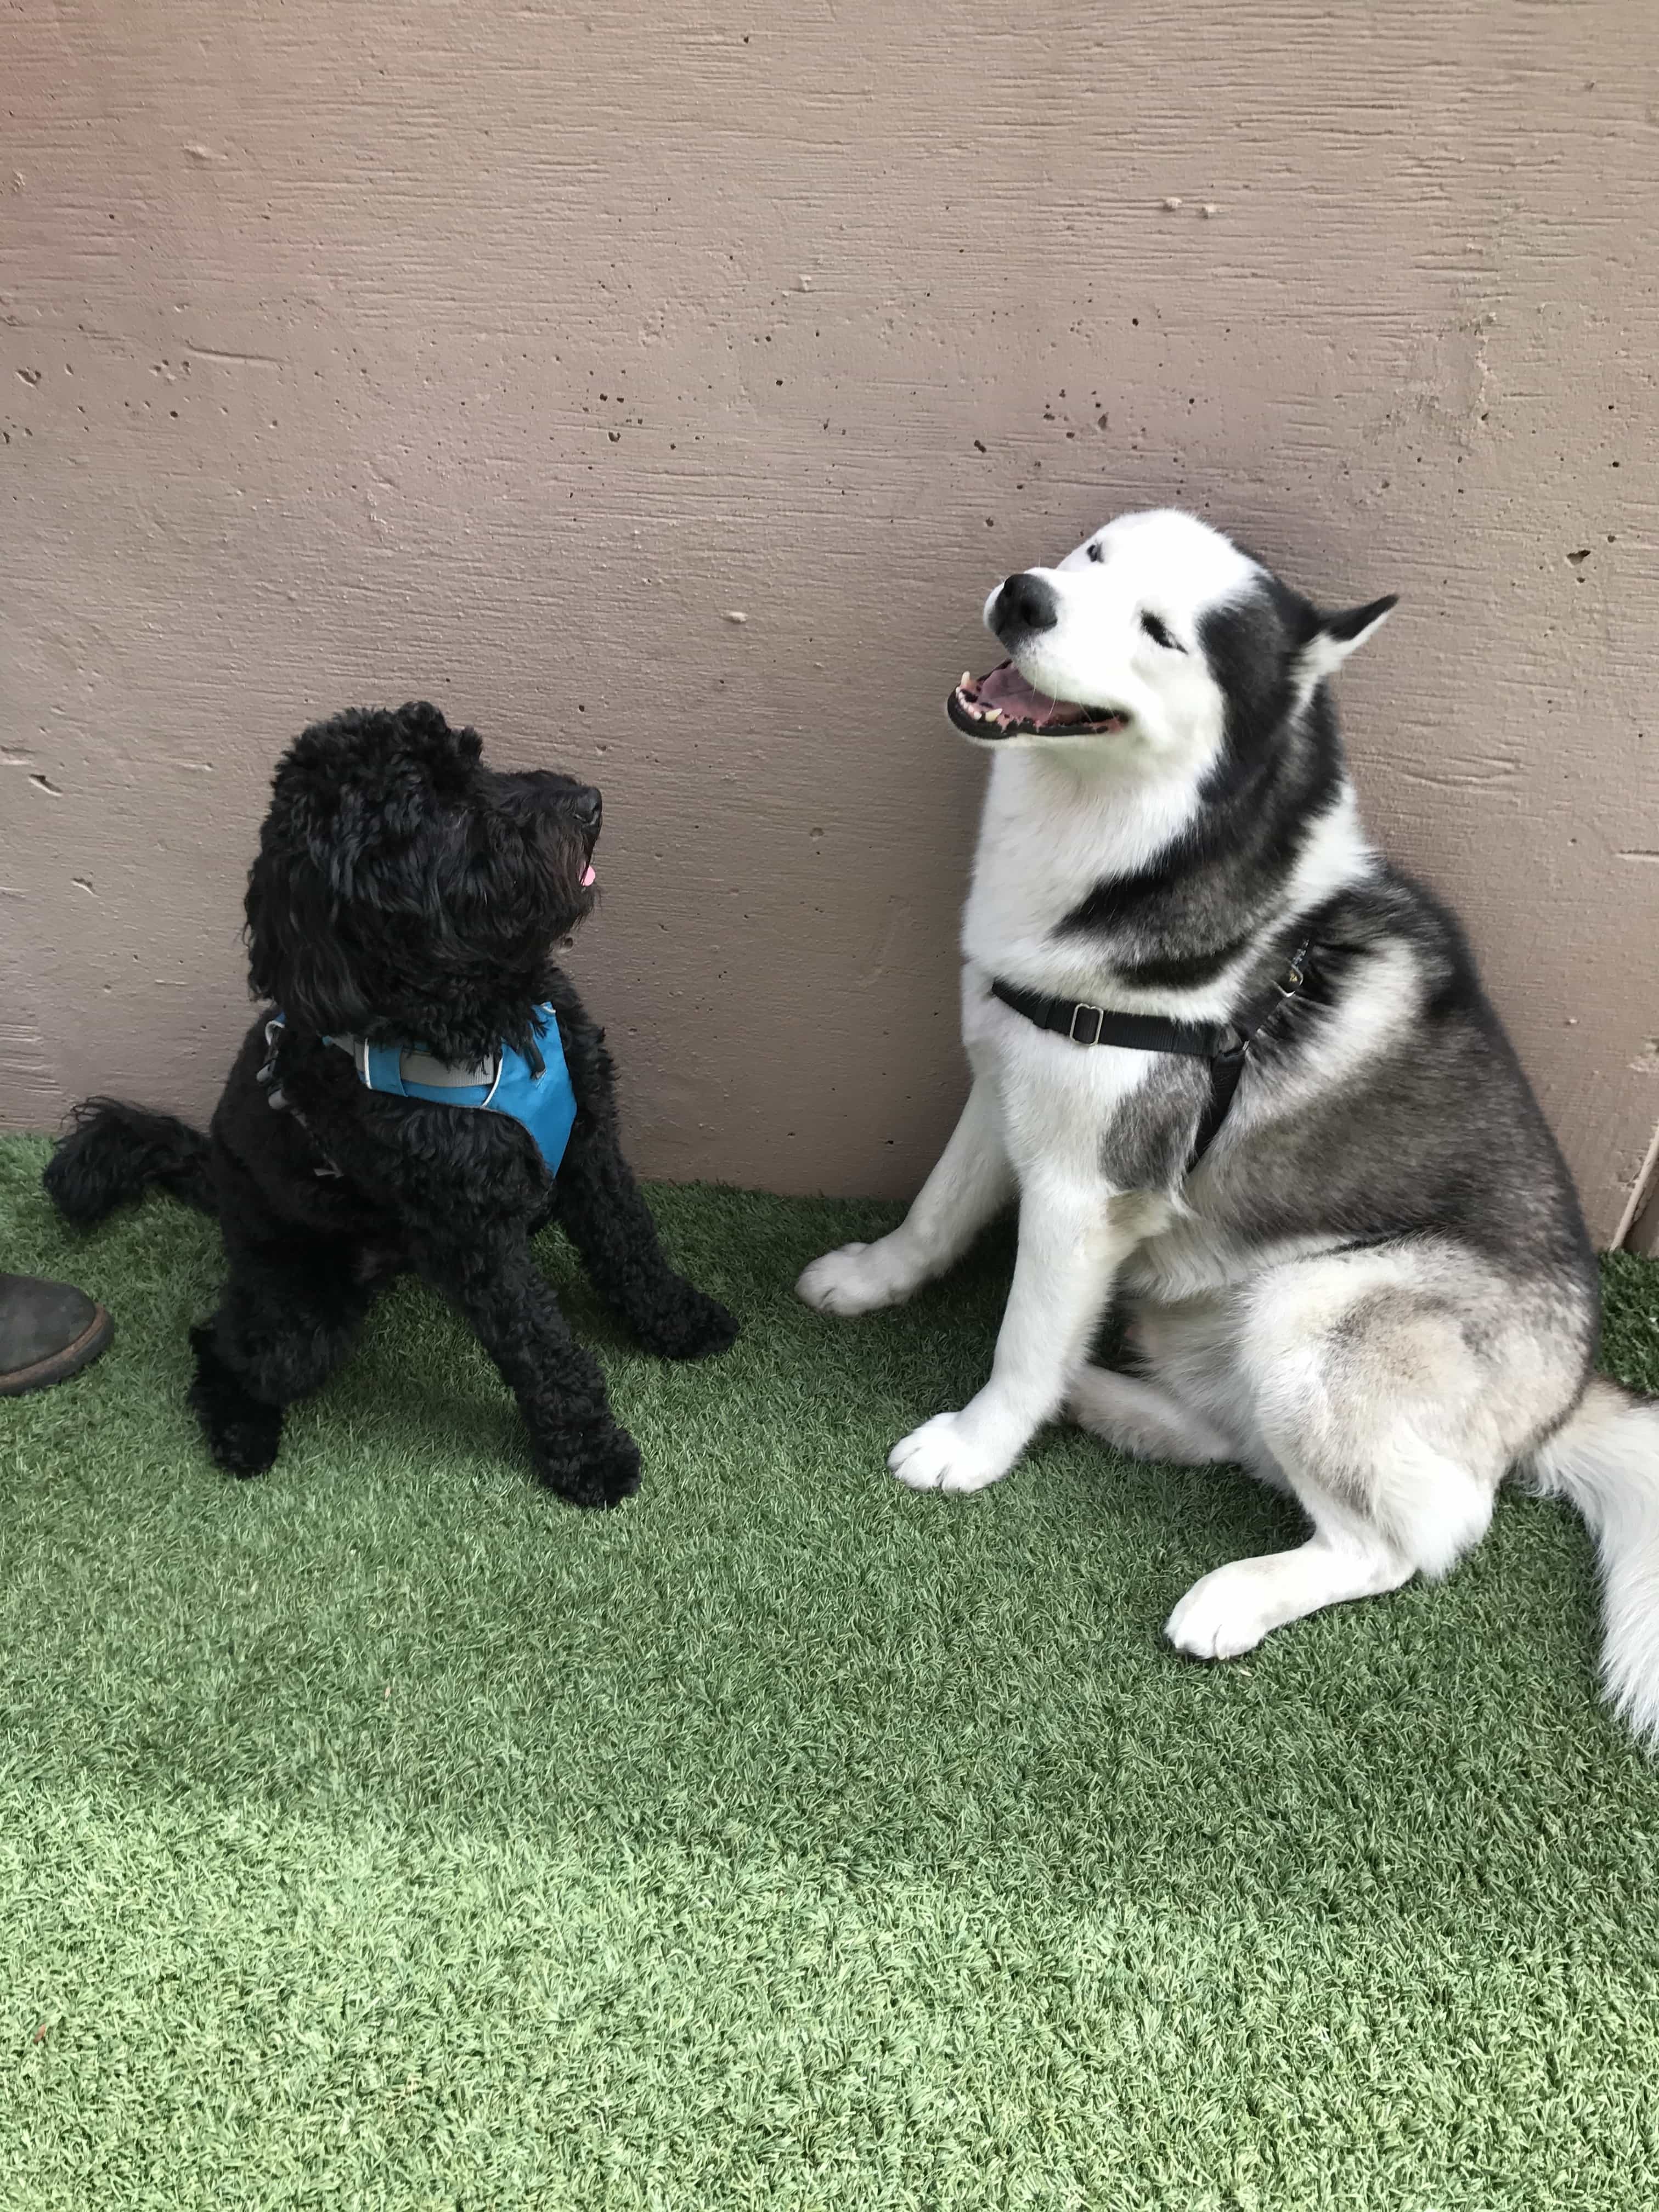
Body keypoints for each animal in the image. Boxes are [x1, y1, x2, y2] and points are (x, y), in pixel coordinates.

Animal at [45, 708, 738, 1504]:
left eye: (477, 765)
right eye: (446, 813)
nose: (589, 803)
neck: (486, 1020)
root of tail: (216, 1174)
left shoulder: (589, 1140)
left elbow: (632, 1244)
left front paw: (682, 1322)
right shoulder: (473, 1230)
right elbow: (540, 1345)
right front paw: (589, 1453)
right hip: (299, 1315)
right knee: (222, 1345)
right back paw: (243, 1433)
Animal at [800, 506, 1654, 1743]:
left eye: (1160, 633)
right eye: (1093, 556)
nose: (1025, 596)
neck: (1134, 858)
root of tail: (1564, 1399)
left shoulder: (1086, 1188)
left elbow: (1020, 1339)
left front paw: (976, 1443)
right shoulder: (1008, 1078)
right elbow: (935, 1212)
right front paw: (871, 1279)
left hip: (1313, 1309)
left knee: (1409, 1540)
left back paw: (1232, 1593)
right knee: (1231, 1440)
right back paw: (1102, 1402)